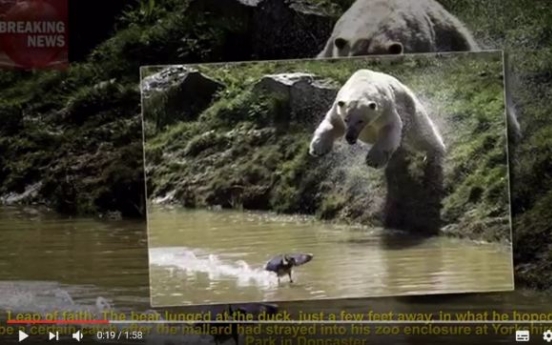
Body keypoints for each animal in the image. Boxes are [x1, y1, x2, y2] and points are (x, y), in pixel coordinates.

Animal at [308, 68, 446, 168]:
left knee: (420, 131)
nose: (350, 137)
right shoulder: (339, 107)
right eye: (346, 120)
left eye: (360, 121)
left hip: (406, 102)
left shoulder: (384, 109)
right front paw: (318, 148)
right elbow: (333, 124)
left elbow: (389, 127)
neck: (360, 86)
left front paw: (373, 160)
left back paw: (435, 153)